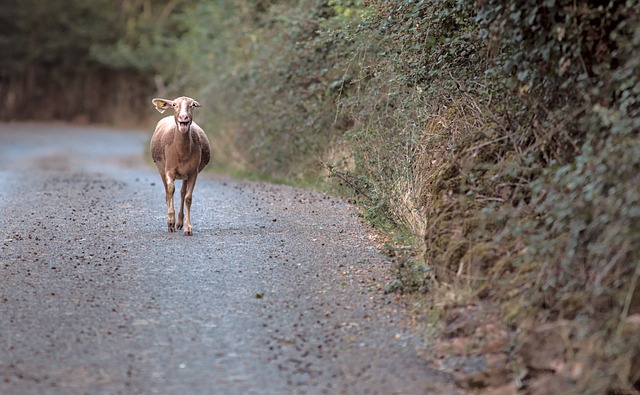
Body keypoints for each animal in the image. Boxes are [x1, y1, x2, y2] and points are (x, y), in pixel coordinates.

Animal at [149, 96, 210, 237]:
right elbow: (171, 190)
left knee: (182, 193)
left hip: (185, 174)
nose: (183, 117)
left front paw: (188, 228)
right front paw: (170, 223)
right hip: (161, 170)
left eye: (192, 105)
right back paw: (172, 223)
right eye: (174, 105)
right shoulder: (169, 169)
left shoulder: (193, 172)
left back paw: (180, 222)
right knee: (167, 193)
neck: (182, 153)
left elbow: (188, 198)